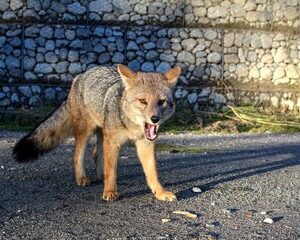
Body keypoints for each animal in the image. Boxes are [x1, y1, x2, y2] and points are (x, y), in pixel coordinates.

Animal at [12, 63, 182, 201]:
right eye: (143, 101)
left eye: (161, 102)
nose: (155, 119)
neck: (131, 126)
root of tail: (81, 75)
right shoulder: (113, 143)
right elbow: (112, 171)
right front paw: (110, 192)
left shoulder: (145, 144)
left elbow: (152, 172)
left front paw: (160, 192)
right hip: (86, 132)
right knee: (77, 156)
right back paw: (82, 178)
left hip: (102, 133)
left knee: (95, 154)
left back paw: (101, 176)